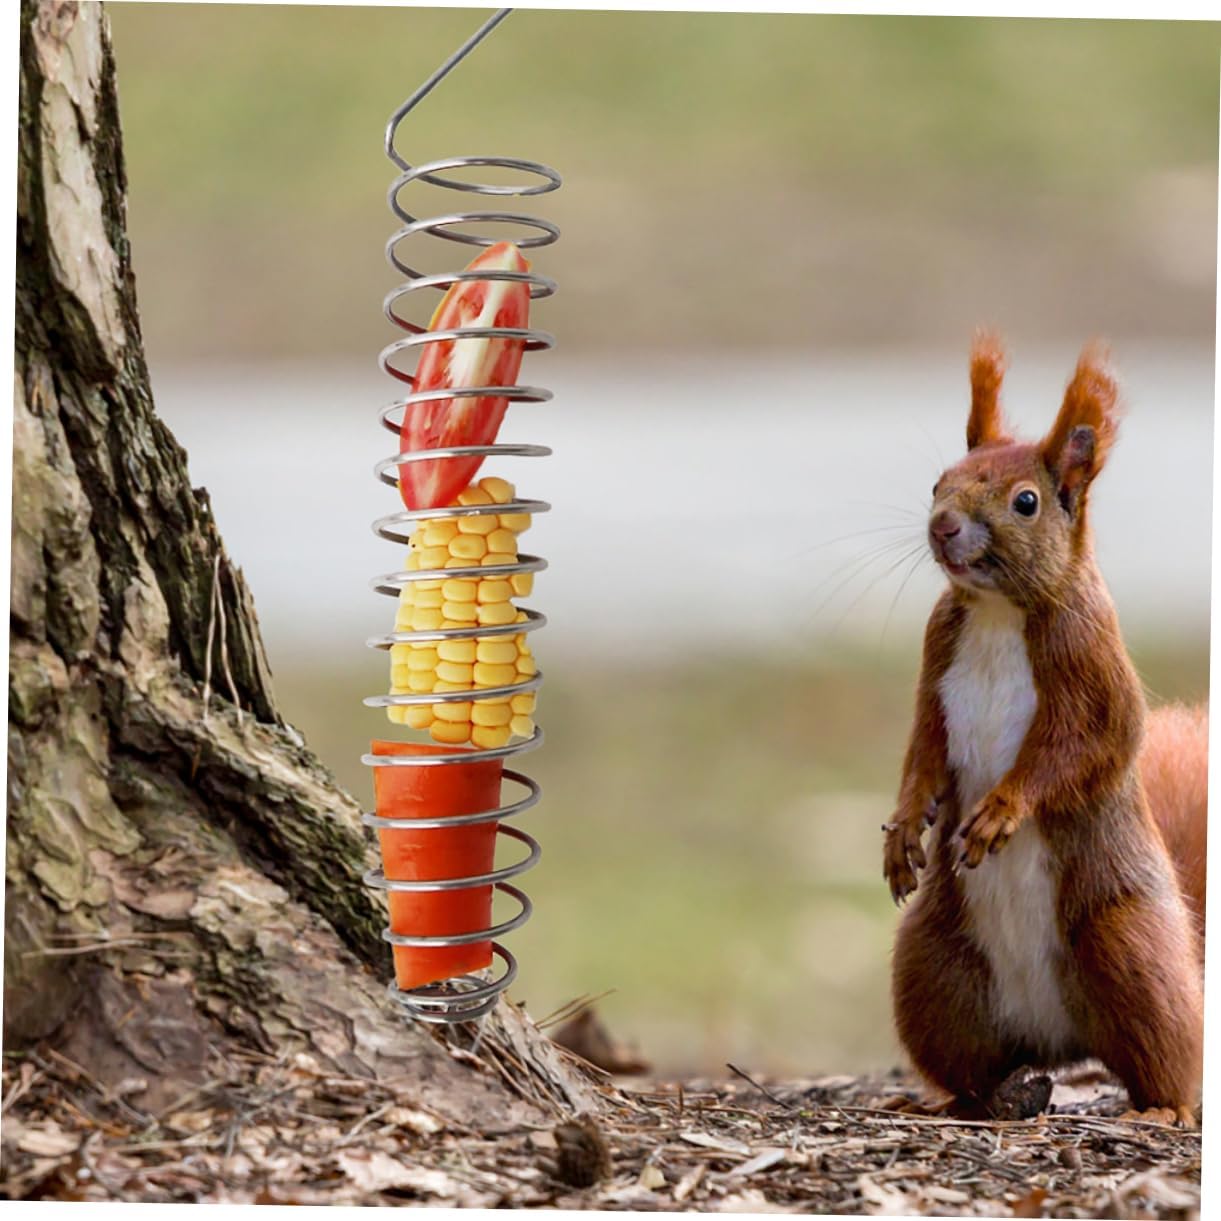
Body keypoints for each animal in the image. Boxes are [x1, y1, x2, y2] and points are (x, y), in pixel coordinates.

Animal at [883, 333, 1206, 1126]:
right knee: (970, 1061)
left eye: (1025, 502)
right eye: (937, 483)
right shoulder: (937, 662)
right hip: (931, 970)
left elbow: (1080, 751)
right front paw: (904, 831)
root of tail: (1061, 1040)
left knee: (1166, 1052)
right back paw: (955, 1100)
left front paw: (1001, 810)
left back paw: (1160, 1110)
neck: (998, 611)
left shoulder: (1090, 664)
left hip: (1128, 948)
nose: (941, 527)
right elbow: (923, 750)